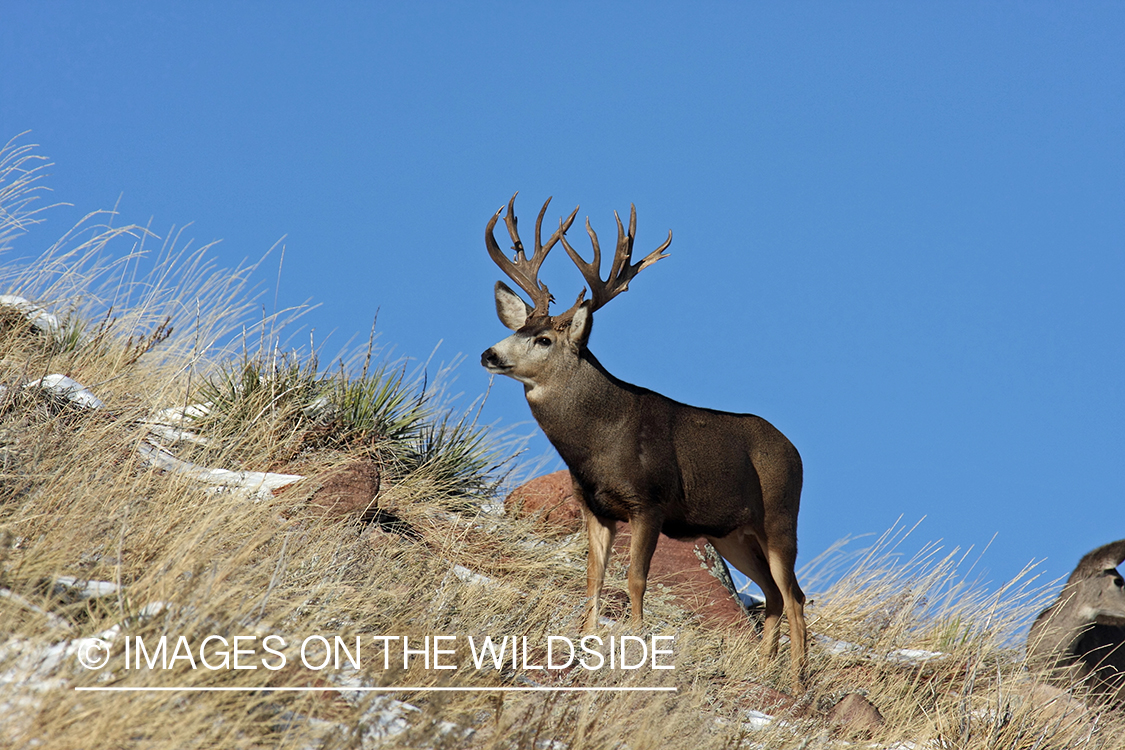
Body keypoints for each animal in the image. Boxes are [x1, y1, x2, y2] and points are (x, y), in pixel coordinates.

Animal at [480, 194, 808, 689]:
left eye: (543, 339)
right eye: (517, 330)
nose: (490, 353)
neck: (598, 443)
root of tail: (796, 451)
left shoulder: (649, 502)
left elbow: (636, 579)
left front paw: (635, 645)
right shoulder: (596, 507)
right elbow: (594, 578)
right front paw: (586, 642)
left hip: (780, 519)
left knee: (794, 597)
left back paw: (797, 681)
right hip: (731, 532)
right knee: (772, 594)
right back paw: (765, 669)